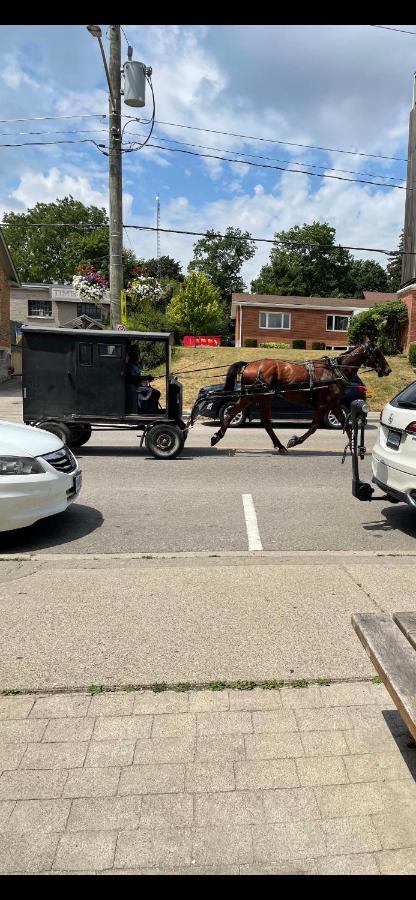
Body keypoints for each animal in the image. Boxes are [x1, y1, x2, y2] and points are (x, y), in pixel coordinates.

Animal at [210, 340, 392, 450]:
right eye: (377, 352)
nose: (388, 369)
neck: (335, 371)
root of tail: (249, 364)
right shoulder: (325, 403)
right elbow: (314, 426)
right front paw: (295, 441)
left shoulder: (333, 403)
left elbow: (345, 425)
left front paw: (353, 446)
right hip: (256, 396)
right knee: (235, 413)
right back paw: (217, 436)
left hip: (260, 396)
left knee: (260, 420)